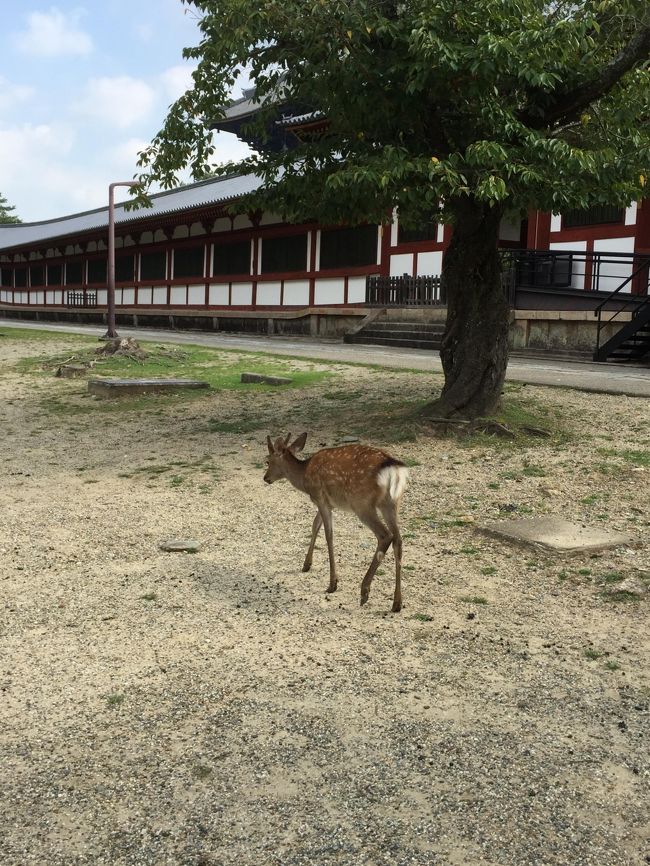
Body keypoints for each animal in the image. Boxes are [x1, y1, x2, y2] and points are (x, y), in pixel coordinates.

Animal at [264, 432, 409, 612]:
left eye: (268, 460)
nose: (265, 478)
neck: (304, 476)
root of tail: (393, 469)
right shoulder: (326, 503)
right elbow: (315, 525)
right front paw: (306, 565)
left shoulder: (320, 497)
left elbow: (328, 535)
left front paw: (332, 583)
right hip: (392, 503)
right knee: (398, 540)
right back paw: (397, 603)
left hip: (361, 503)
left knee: (385, 536)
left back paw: (364, 591)